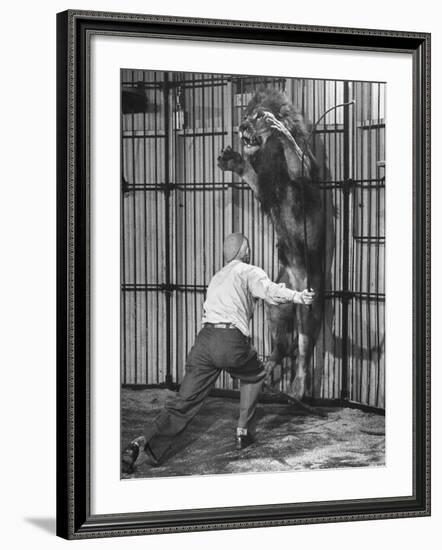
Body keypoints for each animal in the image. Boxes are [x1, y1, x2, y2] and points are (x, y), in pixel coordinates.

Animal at [218, 87, 324, 402]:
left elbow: (298, 160)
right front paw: (234, 162)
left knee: (302, 348)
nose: (241, 126)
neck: (270, 154)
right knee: (281, 345)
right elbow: (251, 176)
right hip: (277, 301)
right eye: (244, 115)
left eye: (257, 116)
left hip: (306, 294)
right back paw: (266, 370)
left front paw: (280, 128)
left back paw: (297, 388)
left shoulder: (306, 173)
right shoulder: (264, 186)